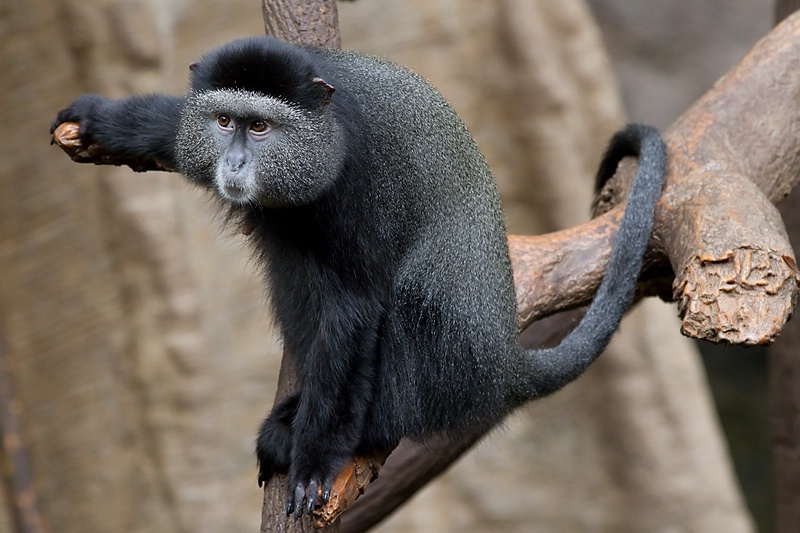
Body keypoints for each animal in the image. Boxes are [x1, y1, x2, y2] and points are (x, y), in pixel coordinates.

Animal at [48, 36, 664, 516]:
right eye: (224, 122)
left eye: (261, 128)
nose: (236, 164)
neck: (327, 126)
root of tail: (500, 365)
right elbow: (172, 129)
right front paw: (97, 118)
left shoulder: (362, 186)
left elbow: (355, 306)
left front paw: (315, 463)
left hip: (444, 356)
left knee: (414, 301)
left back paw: (358, 429)